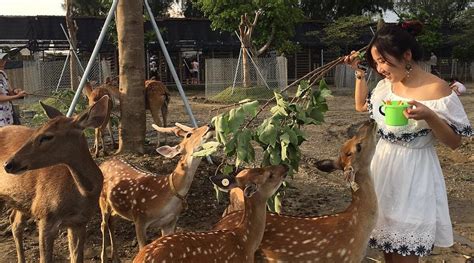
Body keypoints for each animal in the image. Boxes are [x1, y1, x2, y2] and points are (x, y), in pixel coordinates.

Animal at [1, 97, 110, 263]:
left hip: (22, 200)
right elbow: (45, 258)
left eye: (47, 136)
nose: (8, 164)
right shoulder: (45, 215)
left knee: (15, 223)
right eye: (36, 130)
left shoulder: (80, 222)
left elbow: (77, 257)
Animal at [101, 122, 214, 262]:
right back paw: (104, 258)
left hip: (116, 207)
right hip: (102, 200)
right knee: (103, 224)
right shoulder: (139, 218)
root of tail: (104, 162)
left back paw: (116, 257)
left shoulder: (170, 221)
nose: (210, 125)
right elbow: (141, 248)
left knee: (111, 222)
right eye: (189, 134)